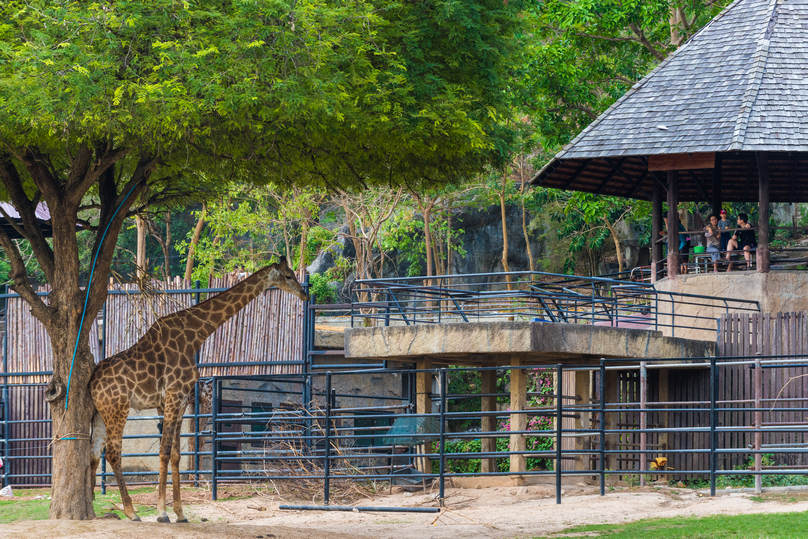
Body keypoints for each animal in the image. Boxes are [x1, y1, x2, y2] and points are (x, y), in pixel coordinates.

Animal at [89, 258, 306, 524]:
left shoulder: (176, 401)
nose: (305, 294)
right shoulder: (174, 395)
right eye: (288, 275)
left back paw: (92, 506)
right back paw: (131, 512)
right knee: (113, 453)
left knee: (94, 452)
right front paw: (162, 513)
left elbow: (175, 454)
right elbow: (163, 452)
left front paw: (180, 513)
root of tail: (92, 382)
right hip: (118, 408)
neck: (194, 337)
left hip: (100, 412)